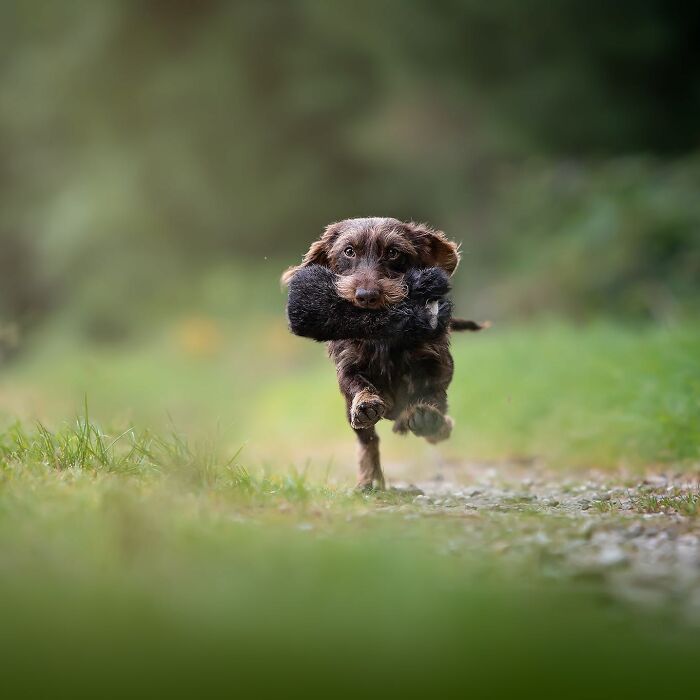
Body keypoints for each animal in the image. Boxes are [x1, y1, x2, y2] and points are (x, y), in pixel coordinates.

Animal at [282, 216, 484, 490]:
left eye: (393, 252)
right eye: (349, 251)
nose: (366, 296)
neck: (380, 334)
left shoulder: (435, 360)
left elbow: (432, 389)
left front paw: (428, 415)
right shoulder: (348, 366)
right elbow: (357, 385)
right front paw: (366, 403)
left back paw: (433, 425)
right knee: (368, 441)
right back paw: (369, 478)